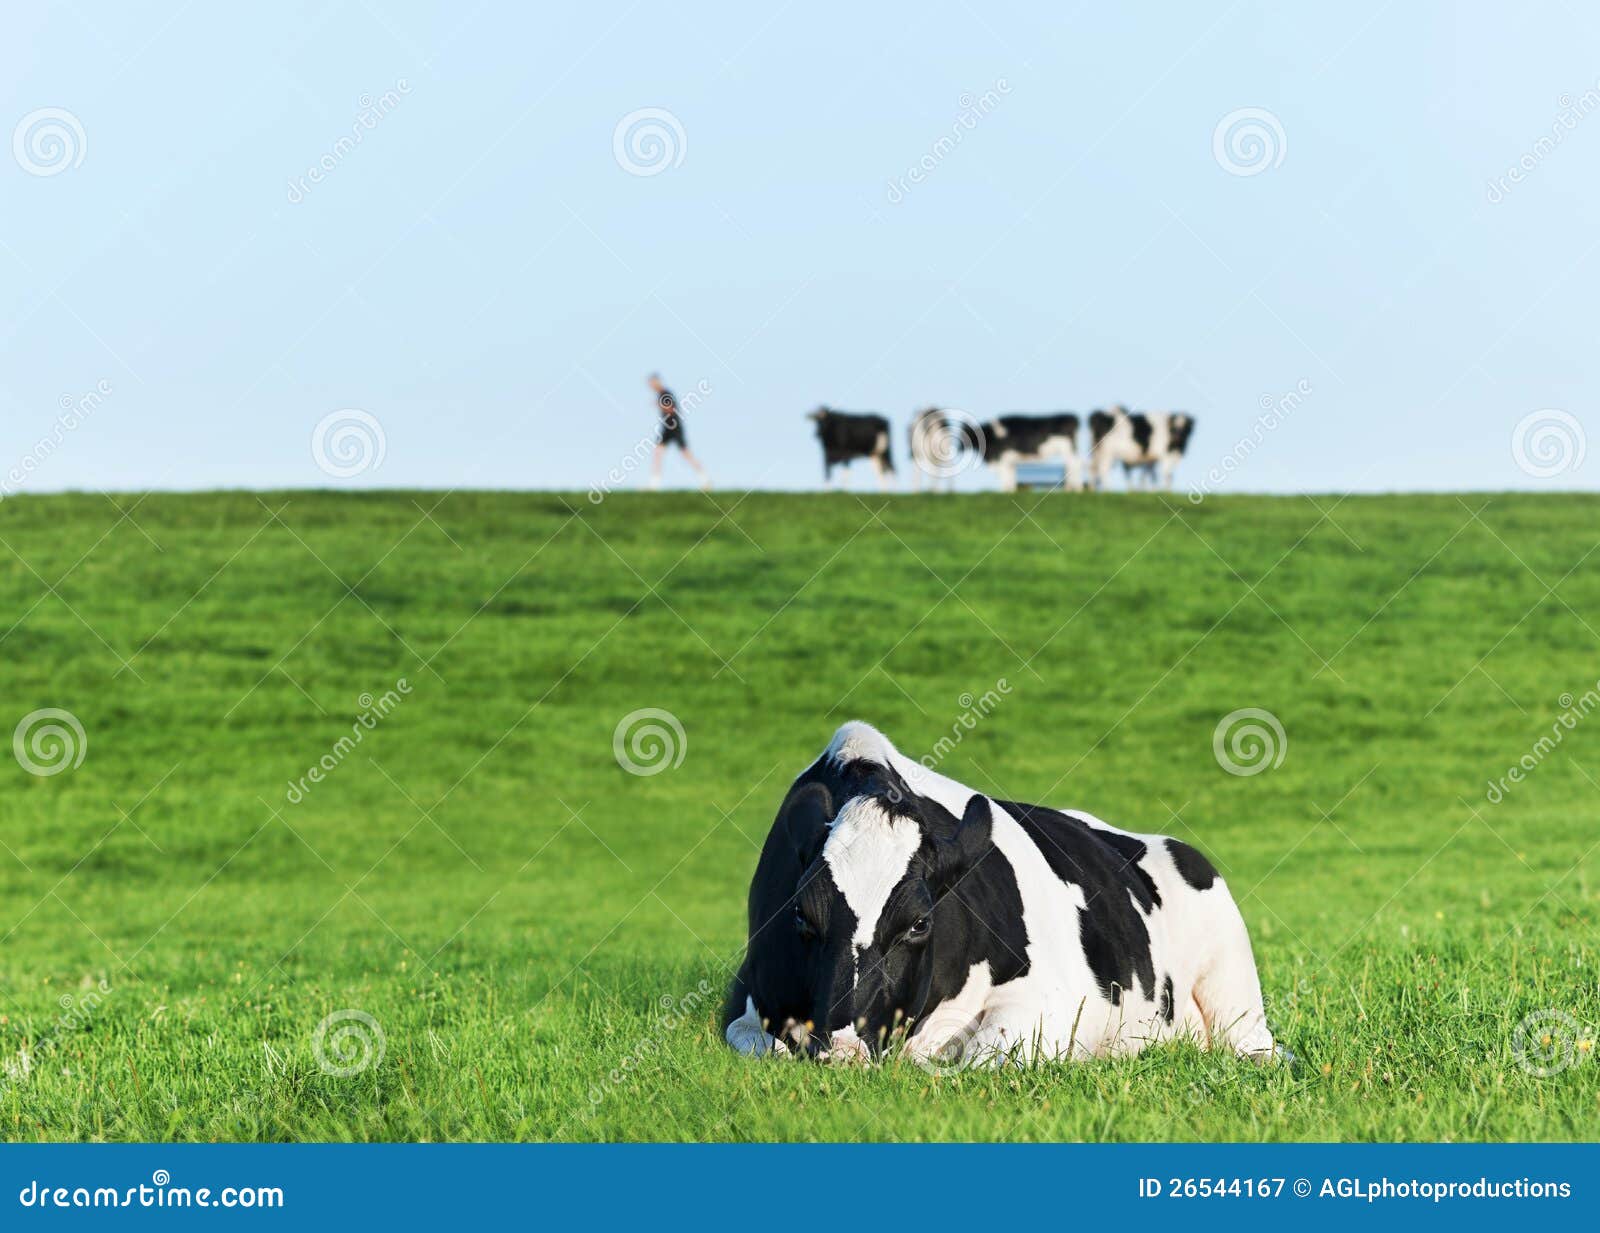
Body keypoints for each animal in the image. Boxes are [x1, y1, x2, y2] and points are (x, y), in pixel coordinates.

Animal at [723, 722, 1273, 1068]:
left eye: (919, 923)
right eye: (800, 916)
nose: (841, 1049)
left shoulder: (1048, 997)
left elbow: (977, 1061)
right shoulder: (746, 997)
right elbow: (757, 1044)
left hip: (1235, 994)